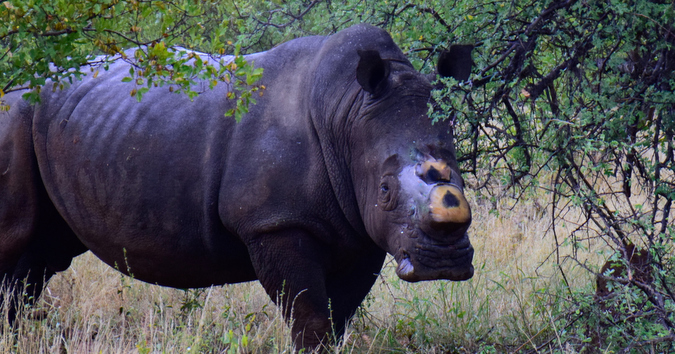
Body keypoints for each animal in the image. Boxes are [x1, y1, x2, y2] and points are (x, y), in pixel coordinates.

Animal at [0, 24, 476, 348]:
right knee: (18, 241)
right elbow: (309, 316)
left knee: (40, 256)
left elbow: (338, 316)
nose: (444, 263)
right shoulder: (274, 222)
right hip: (14, 115)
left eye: (461, 175)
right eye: (384, 191)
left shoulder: (361, 232)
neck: (348, 114)